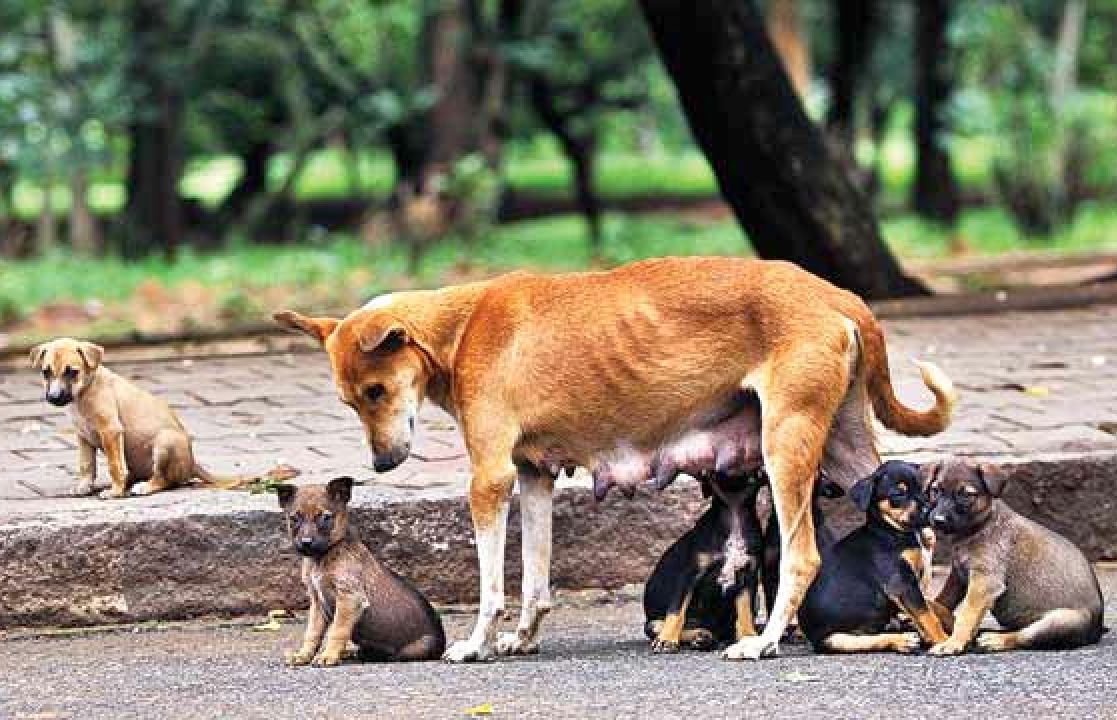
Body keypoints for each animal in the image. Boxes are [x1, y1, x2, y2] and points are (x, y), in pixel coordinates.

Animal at [32, 339, 297, 500]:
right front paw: (84, 486)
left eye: (72, 372)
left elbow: (115, 465)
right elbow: (87, 465)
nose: (54, 397)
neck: (84, 392)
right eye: (46, 372)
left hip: (164, 442)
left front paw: (115, 492)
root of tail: (193, 462)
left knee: (166, 480)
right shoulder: (84, 437)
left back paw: (143, 487)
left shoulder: (110, 431)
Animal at [277, 477, 442, 660]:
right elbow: (312, 633)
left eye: (325, 518)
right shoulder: (317, 603)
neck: (323, 557)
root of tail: (441, 647)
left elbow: (338, 631)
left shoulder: (349, 599)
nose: (306, 543)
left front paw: (328, 655)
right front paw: (303, 655)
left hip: (420, 646)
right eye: (294, 518)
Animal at [647, 468, 768, 656]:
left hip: (756, 601)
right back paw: (701, 636)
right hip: (651, 623)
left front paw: (749, 637)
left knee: (729, 629)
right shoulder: (689, 576)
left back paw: (709, 638)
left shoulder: (748, 577)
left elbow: (745, 612)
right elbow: (676, 611)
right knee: (665, 625)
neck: (734, 512)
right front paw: (667, 640)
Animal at [799, 459, 947, 651]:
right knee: (865, 640)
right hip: (835, 638)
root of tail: (811, 638)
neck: (888, 531)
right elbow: (928, 616)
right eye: (898, 494)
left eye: (926, 489)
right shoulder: (902, 583)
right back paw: (902, 640)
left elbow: (926, 612)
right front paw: (945, 641)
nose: (929, 510)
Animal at [920, 457, 1103, 656]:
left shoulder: (984, 582)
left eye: (966, 495)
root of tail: (1097, 631)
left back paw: (997, 640)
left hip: (1060, 620)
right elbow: (944, 600)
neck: (980, 526)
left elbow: (967, 613)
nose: (938, 521)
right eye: (935, 490)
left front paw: (953, 642)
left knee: (1024, 637)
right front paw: (929, 609)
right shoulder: (958, 575)